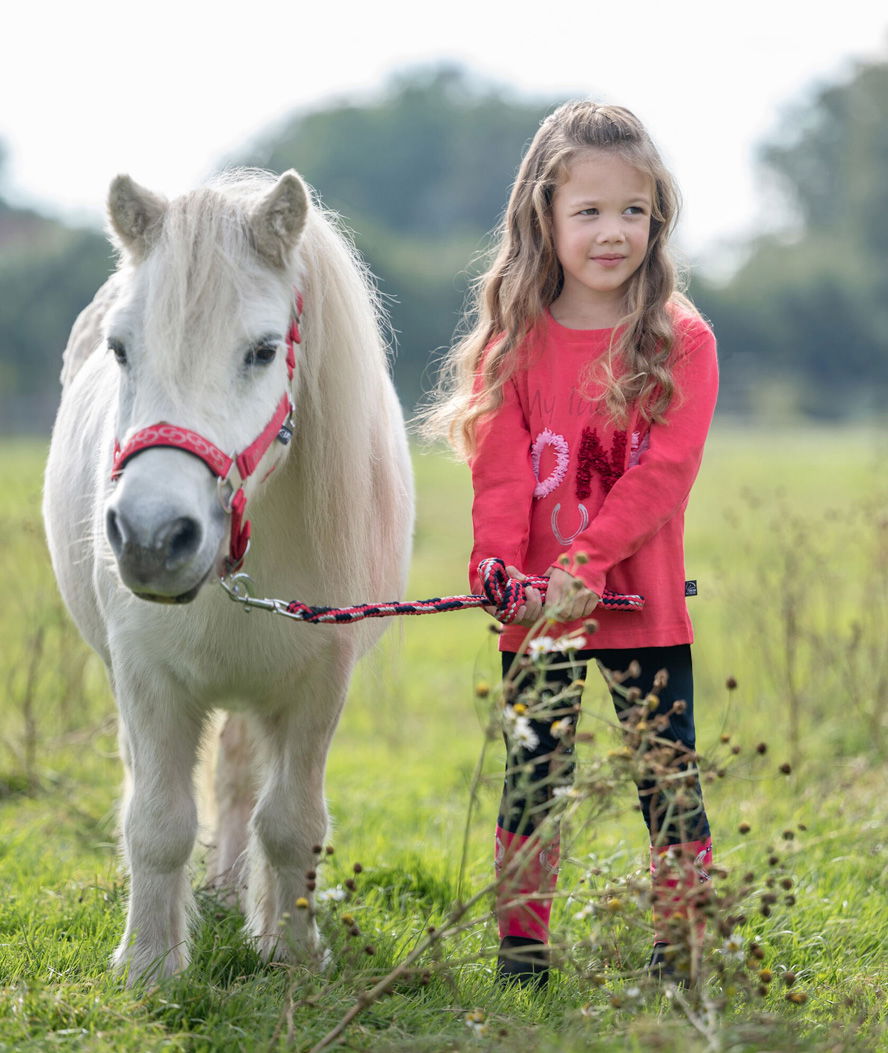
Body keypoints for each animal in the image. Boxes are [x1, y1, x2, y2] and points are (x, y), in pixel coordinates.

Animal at [40, 168, 412, 981]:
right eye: (120, 348)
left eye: (263, 351)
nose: (152, 536)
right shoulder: (145, 678)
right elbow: (157, 820)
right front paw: (148, 965)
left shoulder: (318, 682)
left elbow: (293, 821)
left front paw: (293, 950)